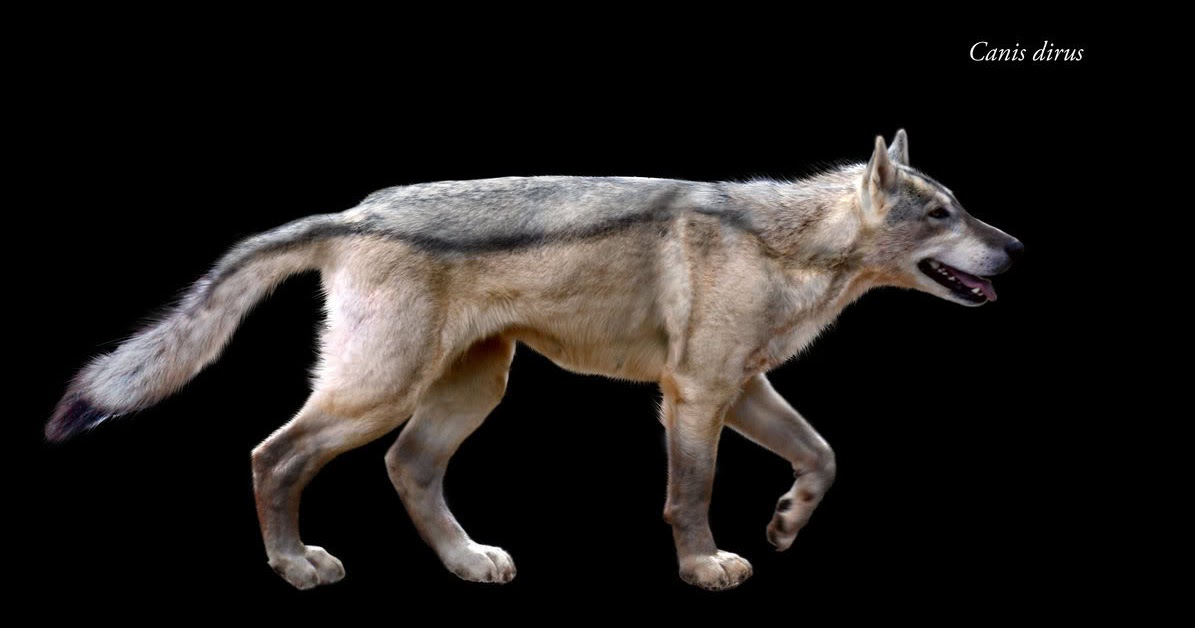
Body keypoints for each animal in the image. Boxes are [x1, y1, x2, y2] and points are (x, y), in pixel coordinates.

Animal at [46, 130, 1022, 591]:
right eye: (941, 213)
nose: (1016, 248)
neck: (789, 244)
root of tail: (357, 213)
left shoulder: (740, 389)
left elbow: (823, 457)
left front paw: (781, 526)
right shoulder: (695, 396)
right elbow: (689, 497)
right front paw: (704, 568)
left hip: (471, 390)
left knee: (406, 469)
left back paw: (467, 561)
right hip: (375, 392)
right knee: (271, 455)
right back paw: (295, 566)